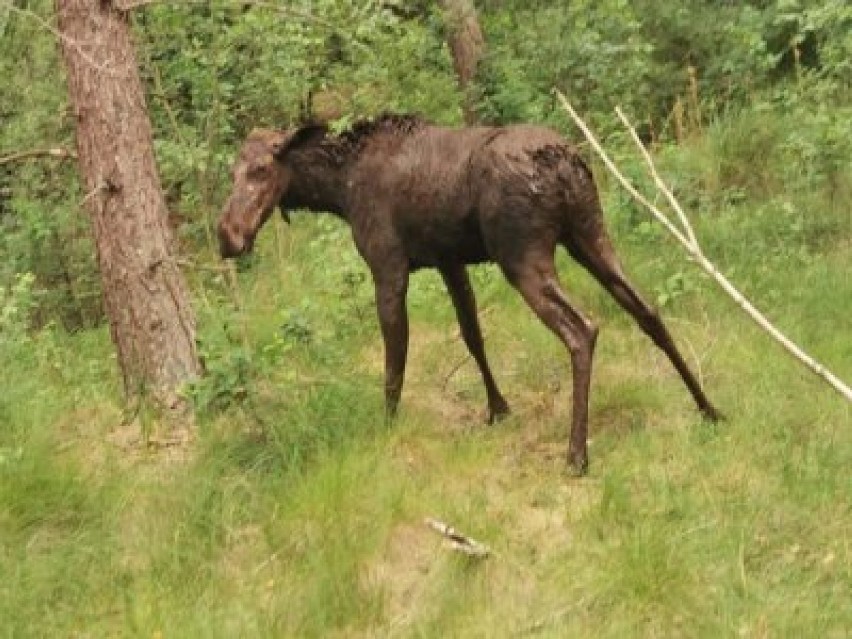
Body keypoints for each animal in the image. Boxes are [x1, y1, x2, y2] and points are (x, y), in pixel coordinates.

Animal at [216, 115, 716, 476]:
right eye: (231, 172)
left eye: (261, 170)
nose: (226, 236)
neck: (338, 190)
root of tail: (564, 162)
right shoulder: (449, 261)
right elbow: (472, 335)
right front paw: (498, 408)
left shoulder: (388, 267)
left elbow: (394, 362)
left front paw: (387, 429)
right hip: (589, 235)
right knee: (647, 310)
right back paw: (708, 408)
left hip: (523, 256)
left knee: (582, 330)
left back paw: (576, 454)